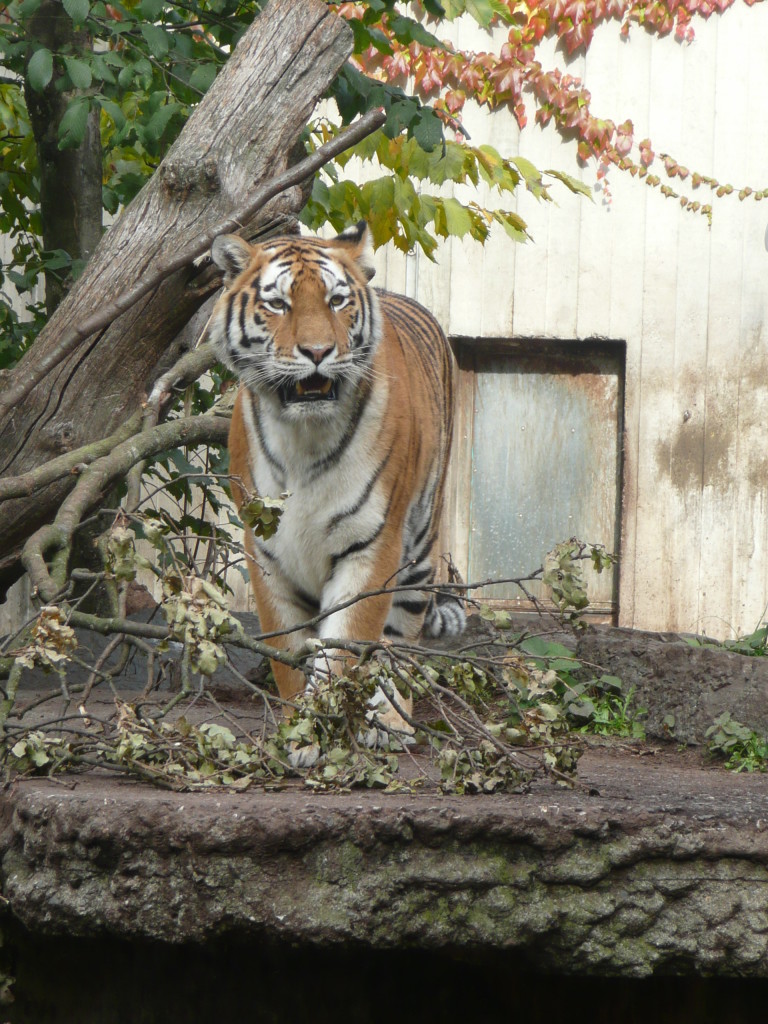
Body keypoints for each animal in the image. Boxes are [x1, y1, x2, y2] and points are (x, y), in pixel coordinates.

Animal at [209, 221, 464, 738]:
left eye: (336, 301)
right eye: (278, 304)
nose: (318, 351)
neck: (303, 437)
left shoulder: (371, 545)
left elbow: (345, 649)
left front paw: (324, 729)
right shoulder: (267, 552)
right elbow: (290, 657)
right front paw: (298, 735)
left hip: (420, 548)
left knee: (398, 643)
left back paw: (389, 721)